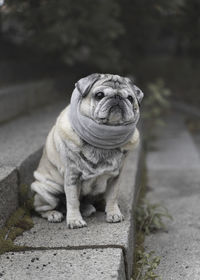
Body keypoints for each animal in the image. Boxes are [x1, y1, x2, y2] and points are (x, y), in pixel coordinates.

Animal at [30, 73, 144, 229]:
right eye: (99, 95)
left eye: (130, 98)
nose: (117, 98)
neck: (104, 141)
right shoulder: (72, 176)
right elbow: (72, 200)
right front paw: (74, 220)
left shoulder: (115, 177)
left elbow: (112, 196)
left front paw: (113, 212)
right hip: (47, 191)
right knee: (41, 208)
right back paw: (54, 214)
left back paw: (95, 206)